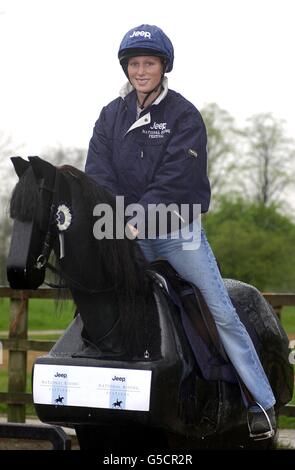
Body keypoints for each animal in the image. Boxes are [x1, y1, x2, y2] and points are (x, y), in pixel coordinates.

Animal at [6, 156, 294, 450]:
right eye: (14, 212)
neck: (118, 332)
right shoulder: (93, 428)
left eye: (42, 206)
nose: (17, 272)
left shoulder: (174, 435)